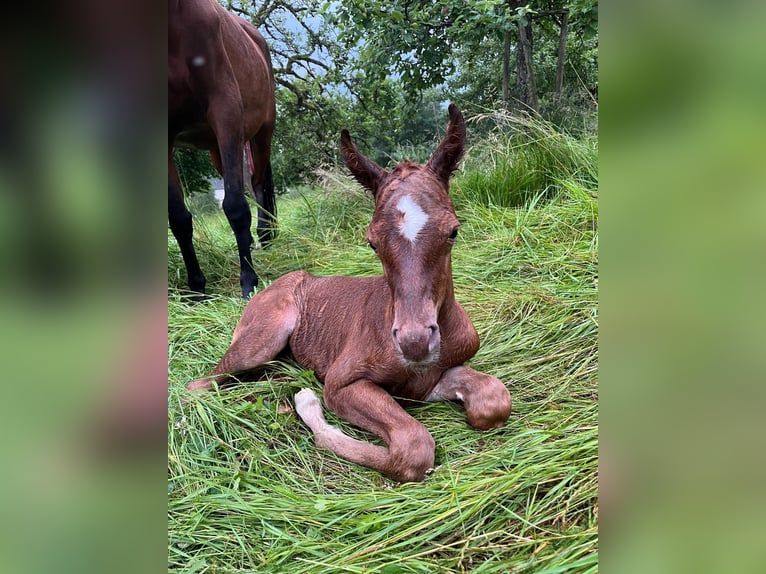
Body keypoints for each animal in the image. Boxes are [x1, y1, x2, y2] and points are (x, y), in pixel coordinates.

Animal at [188, 103, 512, 482]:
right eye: (371, 242)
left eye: (453, 232)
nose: (415, 342)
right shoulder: (341, 382)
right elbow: (413, 447)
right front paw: (308, 405)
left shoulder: (432, 378)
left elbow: (494, 399)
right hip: (263, 337)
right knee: (201, 384)